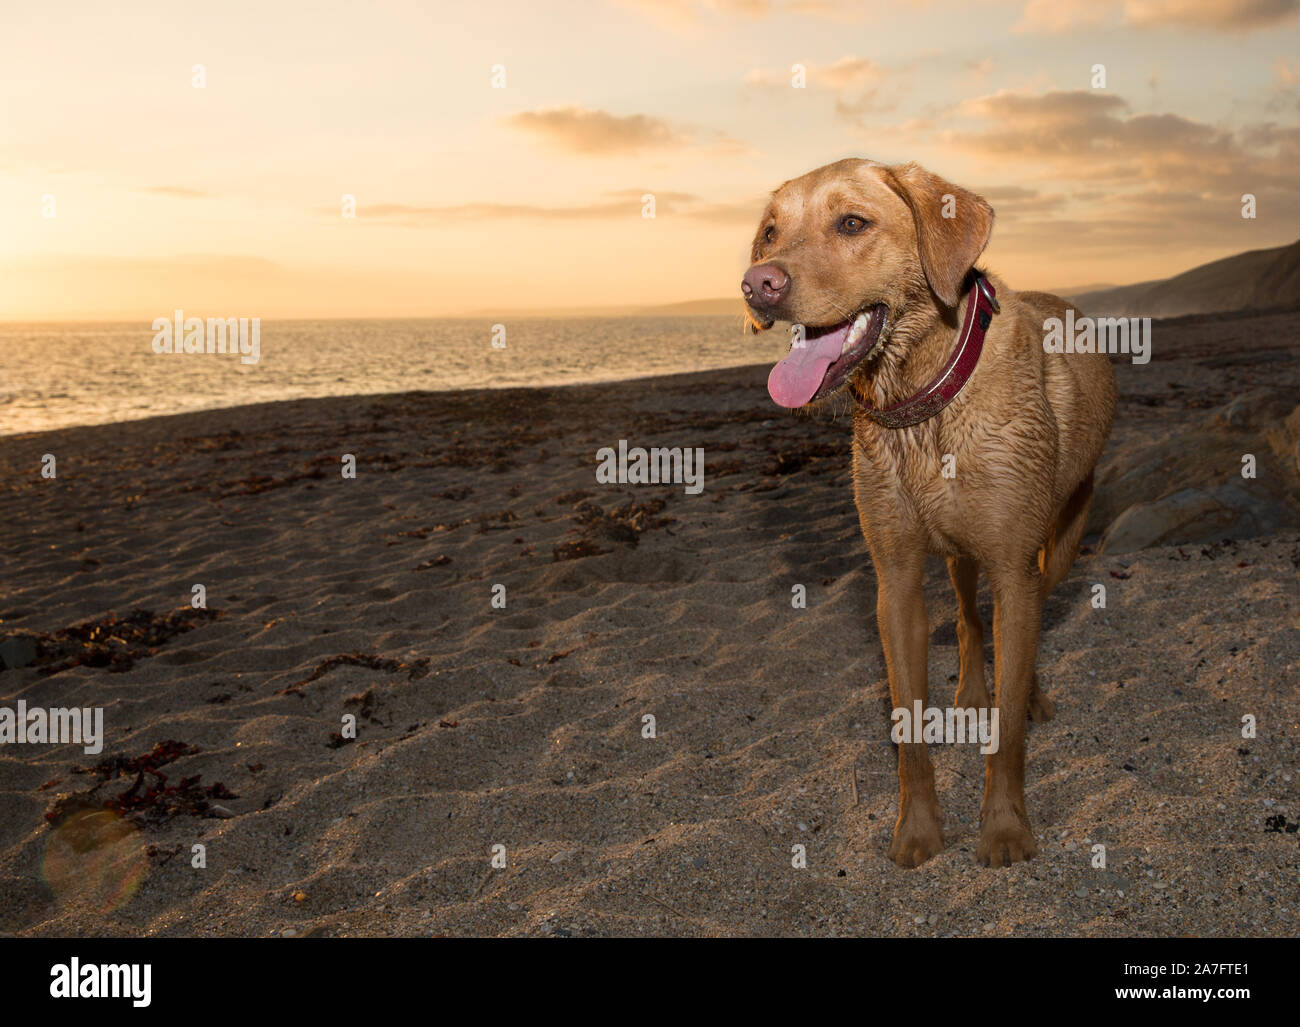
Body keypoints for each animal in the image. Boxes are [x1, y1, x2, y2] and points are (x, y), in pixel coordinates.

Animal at [743, 161, 1118, 868]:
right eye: (771, 232)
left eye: (852, 223)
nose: (757, 284)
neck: (921, 400)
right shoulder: (896, 585)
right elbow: (909, 729)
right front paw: (916, 829)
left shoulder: (1014, 570)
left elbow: (1008, 732)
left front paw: (1004, 828)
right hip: (957, 557)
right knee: (970, 620)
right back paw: (972, 692)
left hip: (1060, 541)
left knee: (1028, 619)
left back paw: (1030, 693)